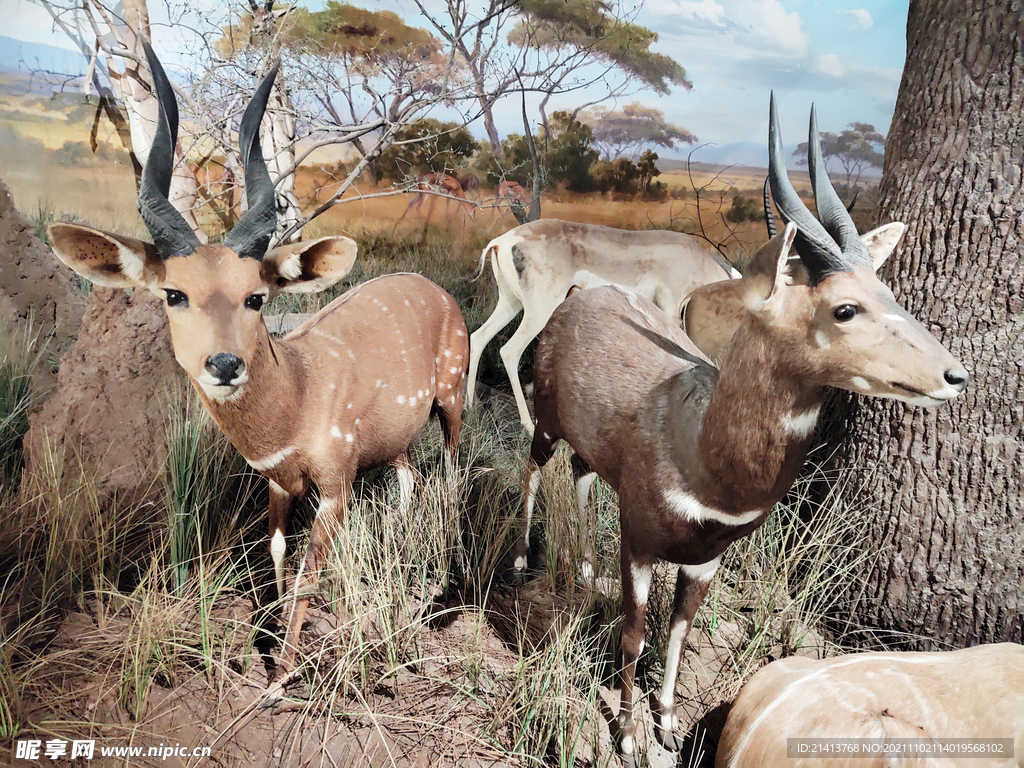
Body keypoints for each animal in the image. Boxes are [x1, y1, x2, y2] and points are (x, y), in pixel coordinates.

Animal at [44, 40, 468, 704]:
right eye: (173, 294)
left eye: (256, 297)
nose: (224, 364)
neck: (299, 396)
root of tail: (439, 291)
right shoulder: (277, 482)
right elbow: (273, 552)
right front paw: (261, 652)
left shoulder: (335, 484)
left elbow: (309, 574)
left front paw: (282, 677)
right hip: (398, 441)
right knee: (410, 482)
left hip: (452, 402)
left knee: (450, 478)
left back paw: (437, 590)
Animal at [468, 219, 741, 430]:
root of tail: (503, 240)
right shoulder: (670, 312)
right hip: (538, 311)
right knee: (509, 351)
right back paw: (528, 424)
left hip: (510, 304)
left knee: (478, 337)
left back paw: (470, 405)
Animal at [516, 94, 970, 765]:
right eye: (843, 308)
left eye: (886, 290)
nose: (954, 375)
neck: (702, 448)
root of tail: (578, 295)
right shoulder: (641, 541)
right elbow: (633, 634)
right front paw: (627, 736)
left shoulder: (706, 558)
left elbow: (677, 634)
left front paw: (668, 726)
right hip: (545, 426)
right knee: (532, 468)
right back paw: (524, 561)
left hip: (587, 454)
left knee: (580, 474)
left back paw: (585, 569)